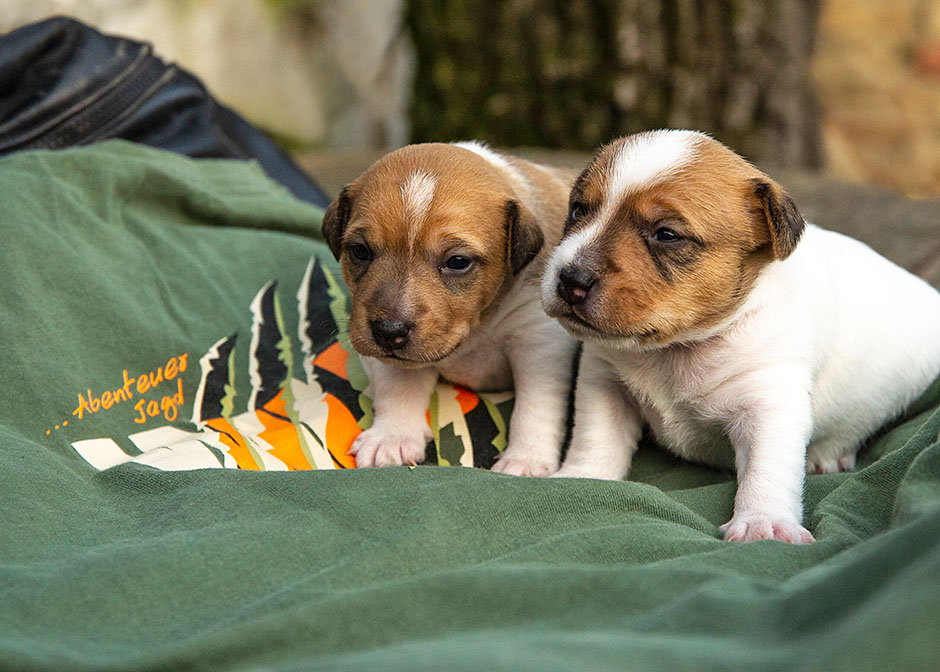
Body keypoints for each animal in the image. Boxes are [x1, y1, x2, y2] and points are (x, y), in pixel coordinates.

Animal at [322, 142, 580, 476]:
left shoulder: (539, 342)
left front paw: (526, 459)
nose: (388, 332)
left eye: (457, 262)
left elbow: (535, 405)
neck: (477, 327)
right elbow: (398, 386)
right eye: (360, 251)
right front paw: (391, 437)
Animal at [540, 129, 940, 544]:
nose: (570, 281)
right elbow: (595, 436)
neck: (676, 349)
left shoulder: (769, 403)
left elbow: (767, 468)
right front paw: (582, 477)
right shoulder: (605, 382)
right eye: (578, 210)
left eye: (666, 234)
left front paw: (763, 522)